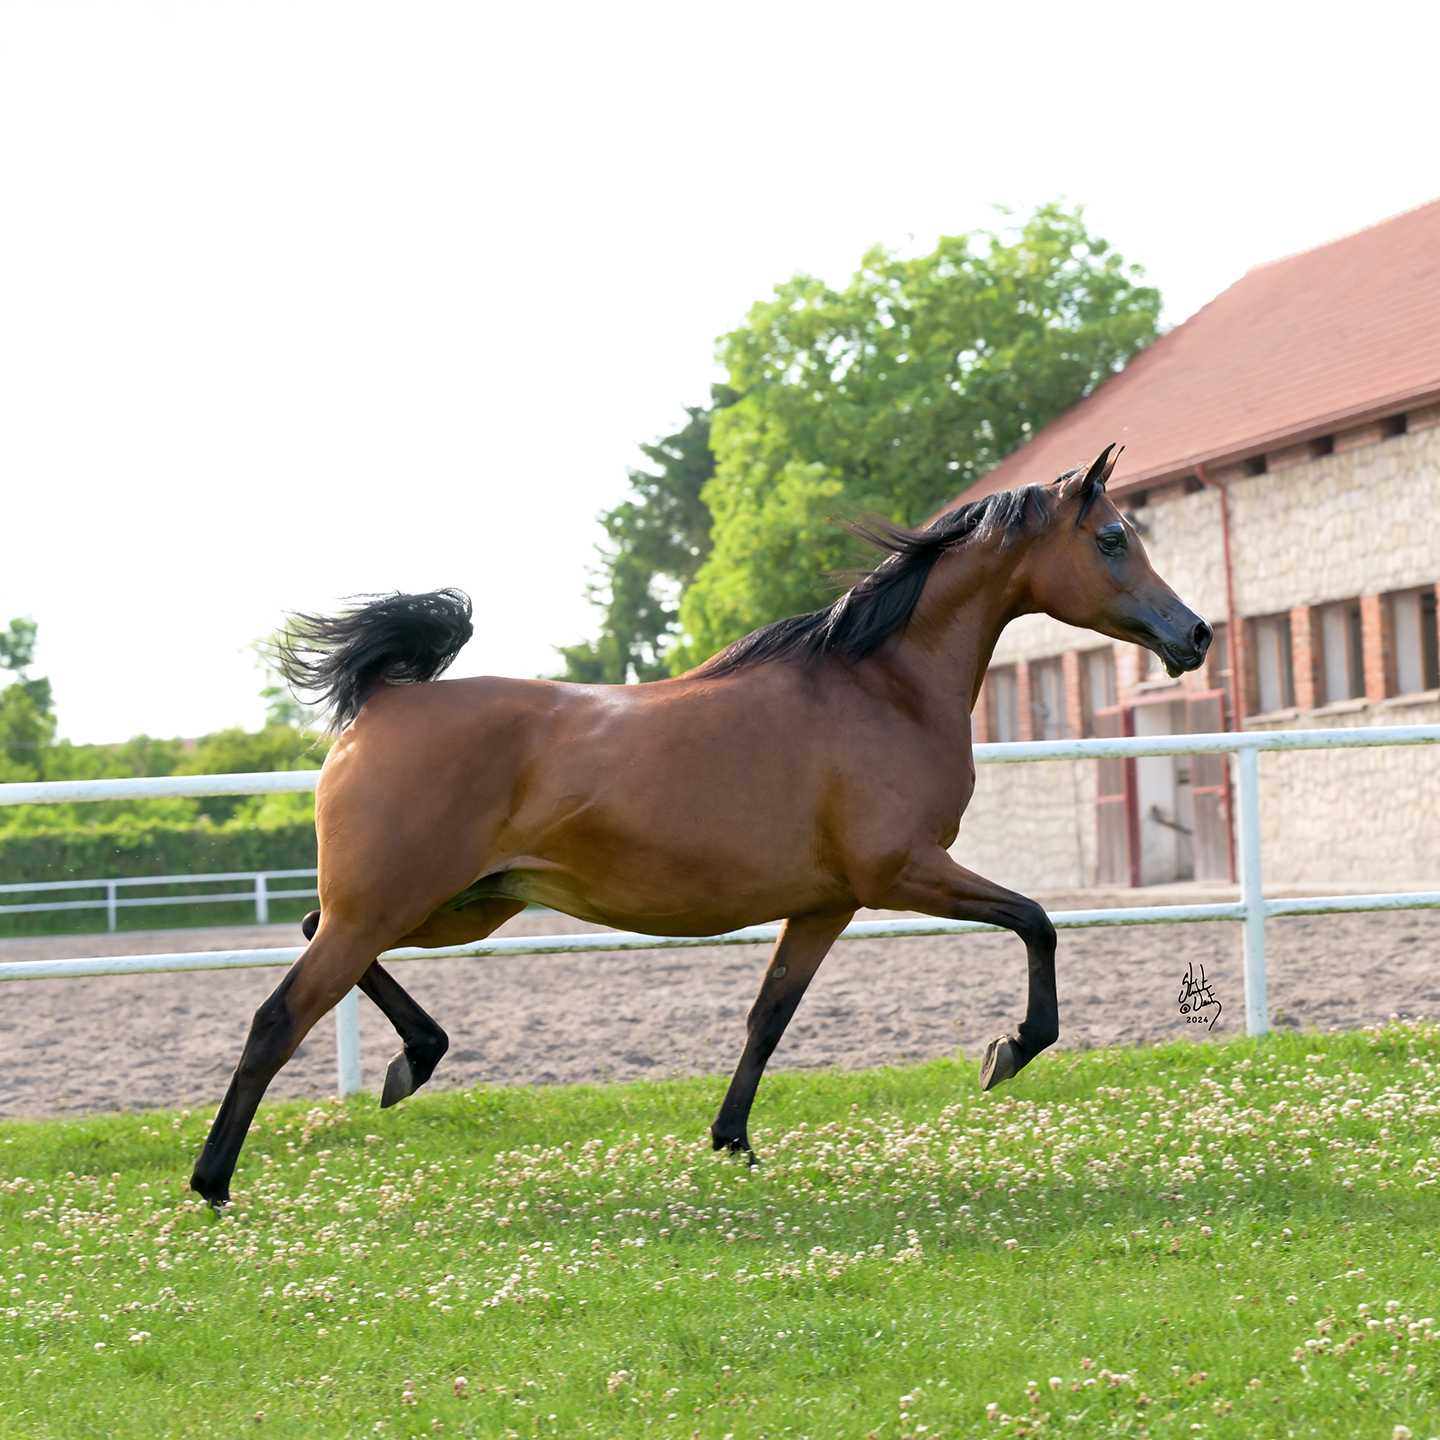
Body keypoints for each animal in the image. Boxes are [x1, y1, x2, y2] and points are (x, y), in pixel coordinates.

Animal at [190, 443, 1211, 1207]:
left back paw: (414, 1062)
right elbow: (1038, 921)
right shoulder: (902, 873)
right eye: (1113, 537)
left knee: (317, 940)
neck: (880, 685)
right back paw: (213, 1184)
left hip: (460, 904)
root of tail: (380, 707)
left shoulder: (827, 904)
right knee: (279, 1015)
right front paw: (1010, 1051)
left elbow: (769, 1016)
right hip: (398, 902)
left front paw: (732, 1141)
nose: (1194, 634)